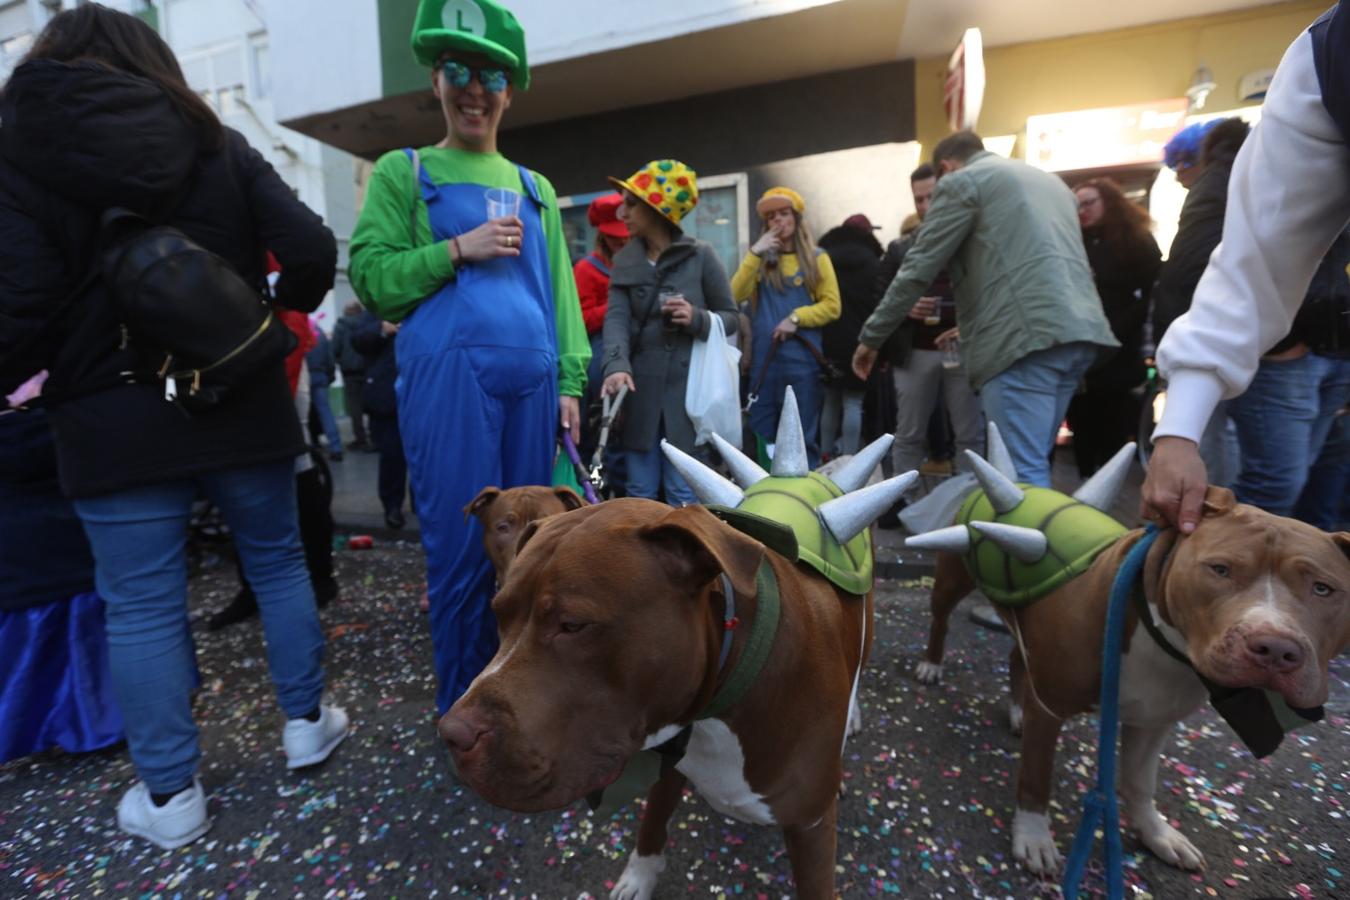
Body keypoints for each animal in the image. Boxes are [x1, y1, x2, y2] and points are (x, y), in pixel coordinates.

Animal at [437, 499, 869, 900]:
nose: (451, 734)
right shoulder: (668, 758)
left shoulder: (810, 829)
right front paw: (637, 879)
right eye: (498, 614)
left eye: (573, 625)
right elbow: (652, 821)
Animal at [918, 488, 1350, 874]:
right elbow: (1036, 779)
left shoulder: (1153, 720)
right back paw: (931, 665)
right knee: (940, 620)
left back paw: (1017, 711)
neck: (1164, 643)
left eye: (1323, 588)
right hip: (951, 575)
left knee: (1016, 659)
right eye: (1220, 569)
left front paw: (1157, 835)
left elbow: (1141, 785)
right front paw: (1035, 839)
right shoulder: (1050, 710)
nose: (1275, 648)